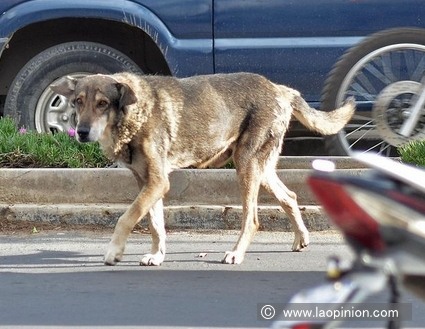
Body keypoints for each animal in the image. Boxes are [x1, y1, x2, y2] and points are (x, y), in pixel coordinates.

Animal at [49, 72, 354, 264]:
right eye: (78, 102)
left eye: (102, 103)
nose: (81, 132)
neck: (135, 116)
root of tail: (280, 88)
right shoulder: (148, 183)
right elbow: (155, 225)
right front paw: (157, 255)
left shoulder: (157, 183)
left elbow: (126, 218)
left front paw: (114, 252)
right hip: (261, 170)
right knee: (290, 196)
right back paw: (301, 238)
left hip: (246, 168)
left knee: (252, 220)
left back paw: (236, 254)